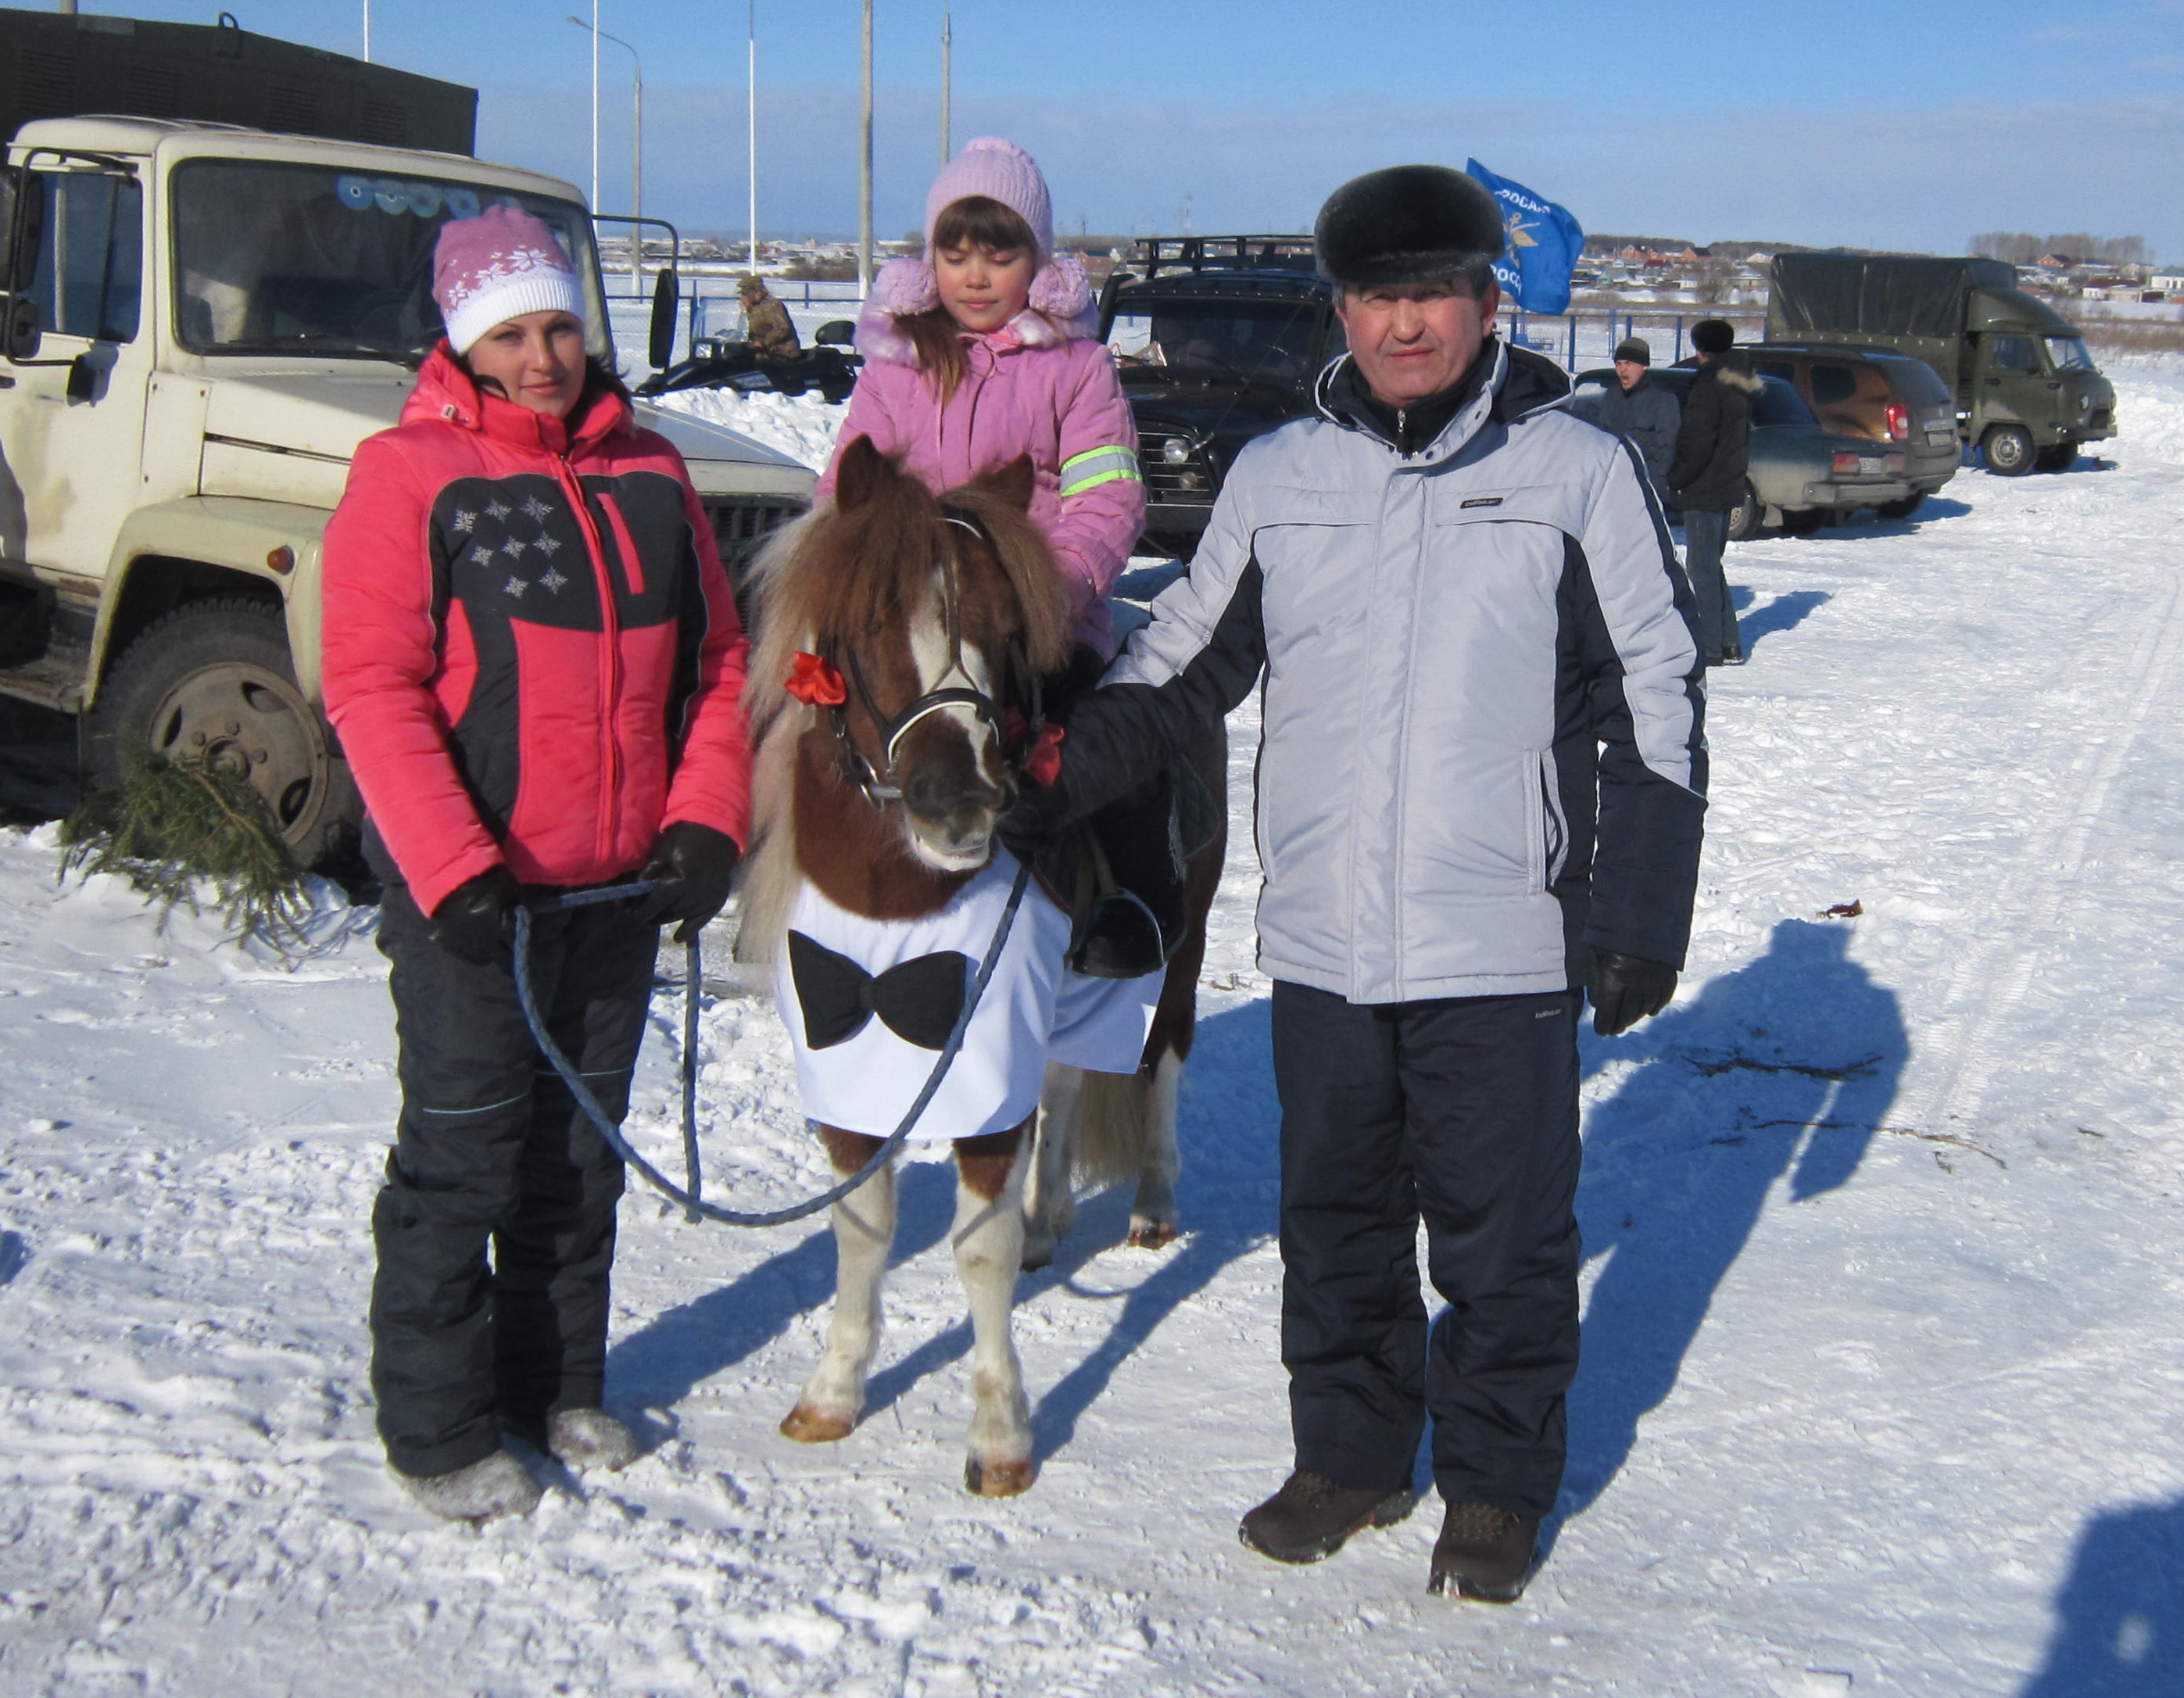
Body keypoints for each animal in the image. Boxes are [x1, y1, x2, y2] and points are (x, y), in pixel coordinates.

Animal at [742, 441, 1231, 1495]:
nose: (958, 803)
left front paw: (1001, 1436)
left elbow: (980, 1251)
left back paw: (1152, 1204)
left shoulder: (981, 1070)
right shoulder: (854, 1066)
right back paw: (1054, 1218)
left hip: (1179, 954)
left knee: (1163, 1059)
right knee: (1065, 1080)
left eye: (1008, 634)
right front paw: (832, 1394)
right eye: (870, 623)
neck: (898, 904)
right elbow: (861, 1229)